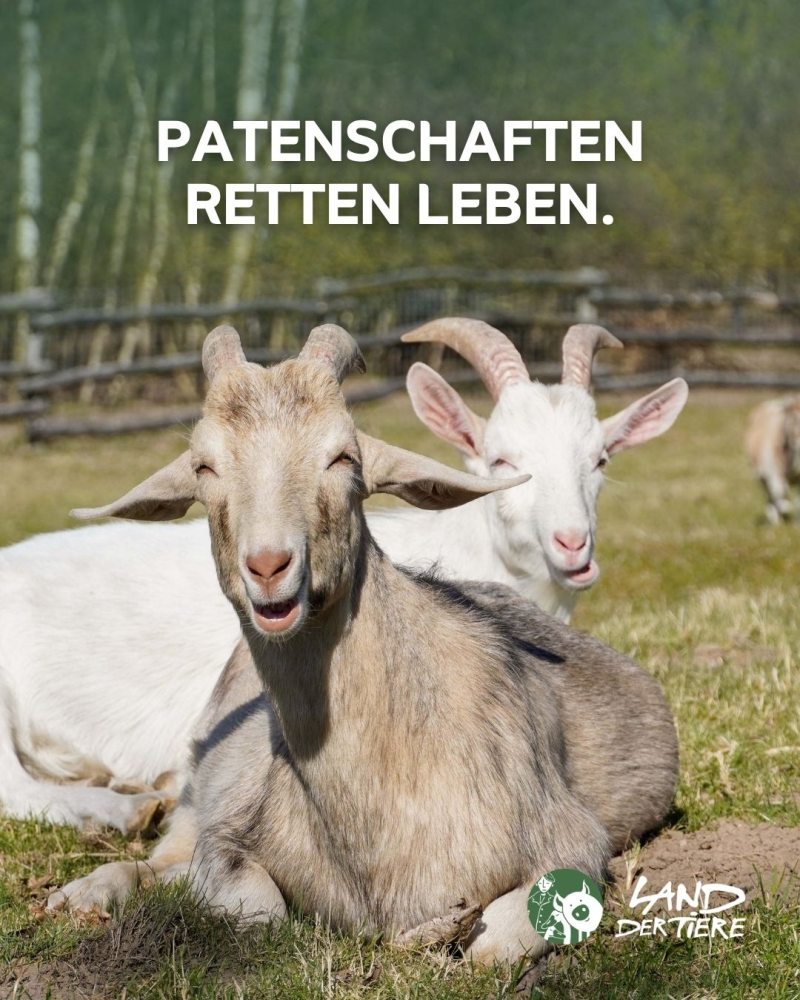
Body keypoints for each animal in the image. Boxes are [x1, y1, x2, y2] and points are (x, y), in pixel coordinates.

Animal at [49, 324, 678, 966]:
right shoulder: (229, 834)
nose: (268, 566)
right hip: (196, 792)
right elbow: (259, 917)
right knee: (161, 859)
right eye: (204, 466)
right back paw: (85, 891)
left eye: (343, 457)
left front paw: (442, 931)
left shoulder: (572, 838)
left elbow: (494, 945)